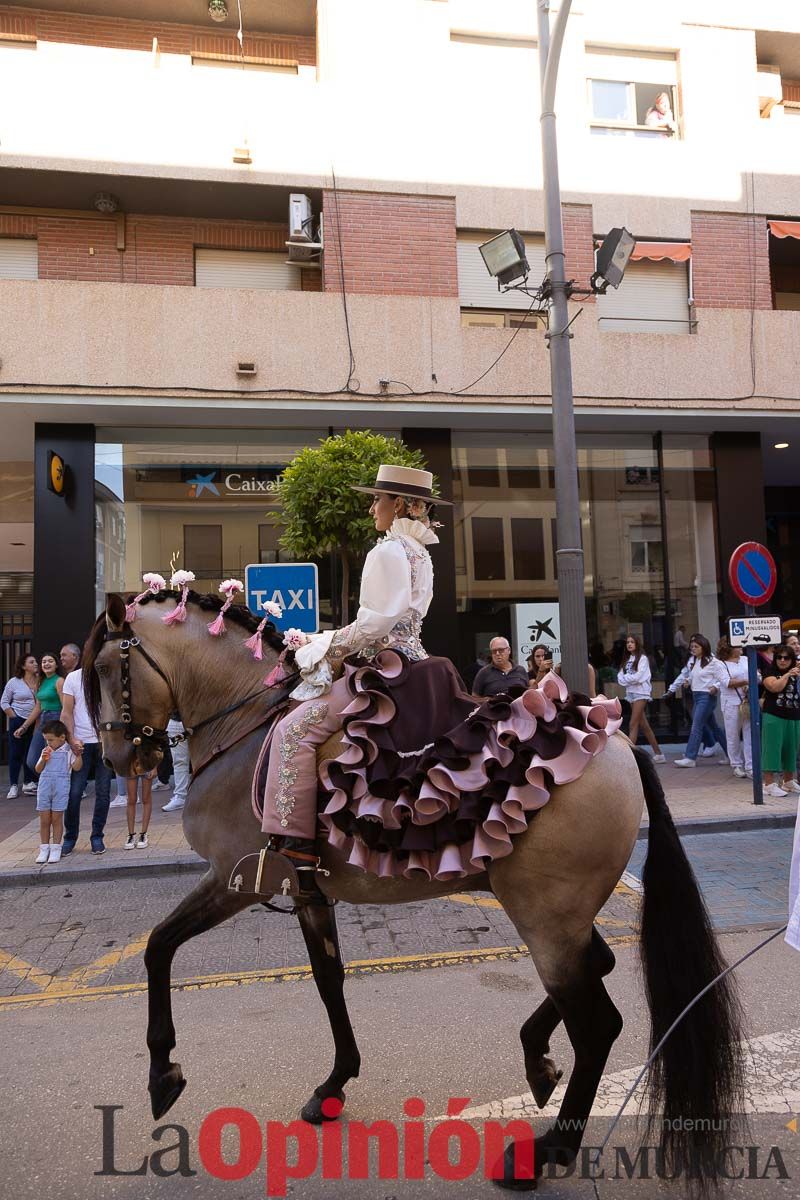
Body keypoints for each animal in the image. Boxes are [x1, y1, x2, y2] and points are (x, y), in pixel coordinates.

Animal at [84, 590, 748, 1190]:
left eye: (104, 669)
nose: (117, 758)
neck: (245, 726)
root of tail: (617, 744)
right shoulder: (307, 891)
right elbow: (328, 981)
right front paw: (334, 1086)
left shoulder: (234, 879)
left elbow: (159, 947)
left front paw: (163, 1075)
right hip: (560, 914)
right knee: (599, 968)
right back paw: (536, 1059)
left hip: (546, 917)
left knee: (597, 1025)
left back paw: (544, 1153)